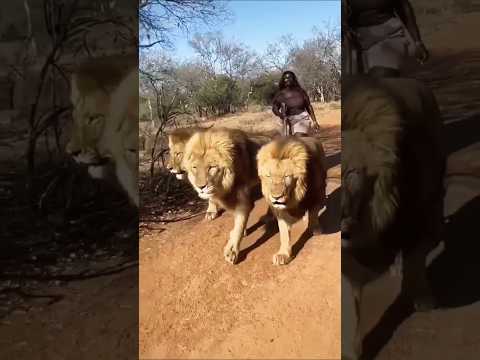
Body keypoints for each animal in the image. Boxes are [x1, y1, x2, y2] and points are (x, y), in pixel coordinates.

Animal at [182, 128, 270, 262]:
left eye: (211, 167)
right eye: (195, 167)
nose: (200, 187)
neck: (224, 185)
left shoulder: (243, 201)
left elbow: (239, 224)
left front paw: (232, 250)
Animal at [256, 136, 328, 266]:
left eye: (286, 176)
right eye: (269, 176)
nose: (276, 197)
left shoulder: (315, 193)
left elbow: (313, 213)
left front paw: (315, 228)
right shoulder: (281, 211)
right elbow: (284, 232)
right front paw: (283, 254)